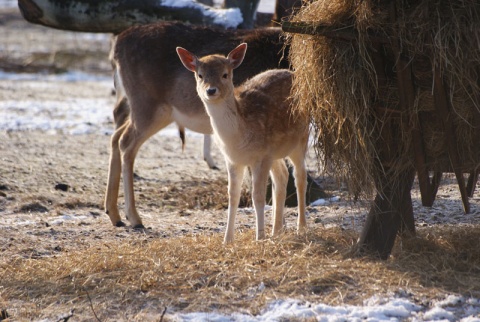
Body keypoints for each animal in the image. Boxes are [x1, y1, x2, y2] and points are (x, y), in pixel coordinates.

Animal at [105, 21, 288, 228]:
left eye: (225, 74)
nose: (211, 90)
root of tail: (118, 43)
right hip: (147, 104)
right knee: (126, 142)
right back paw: (134, 218)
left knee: (116, 135)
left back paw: (114, 214)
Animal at [178, 44, 310, 243]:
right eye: (200, 75)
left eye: (225, 74)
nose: (211, 90)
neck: (237, 138)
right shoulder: (233, 160)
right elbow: (233, 196)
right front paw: (227, 240)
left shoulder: (260, 157)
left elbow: (258, 196)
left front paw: (259, 237)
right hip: (275, 152)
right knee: (282, 176)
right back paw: (277, 230)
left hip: (301, 139)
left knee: (300, 177)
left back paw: (300, 228)